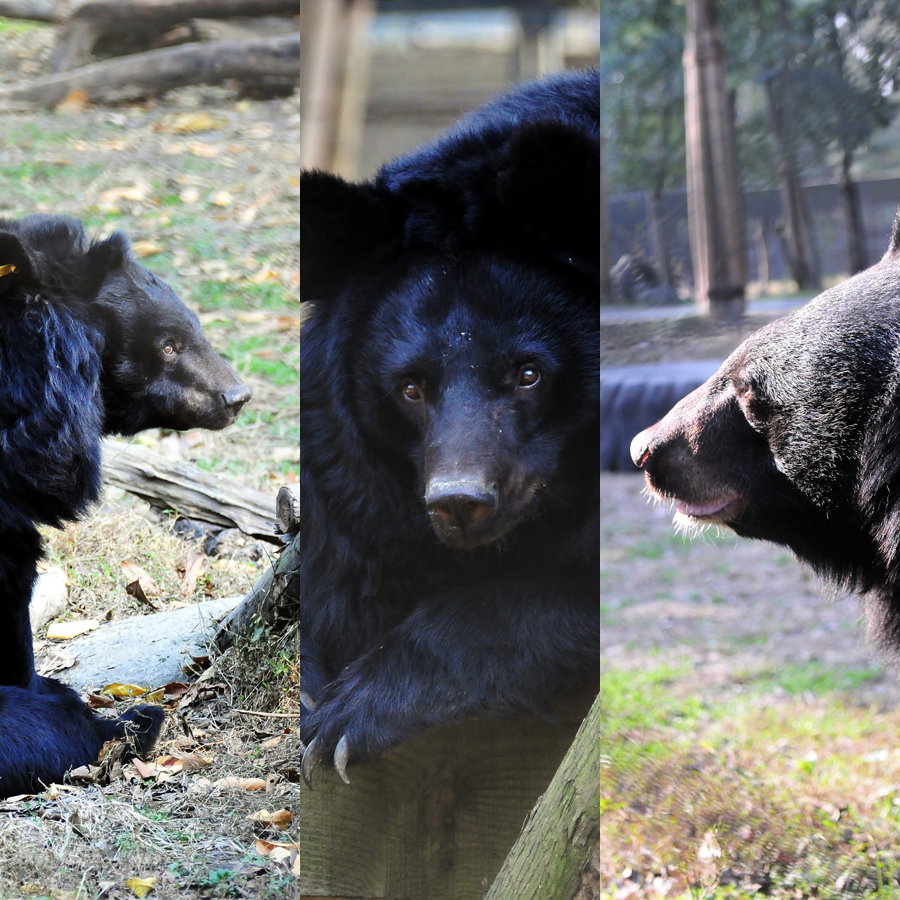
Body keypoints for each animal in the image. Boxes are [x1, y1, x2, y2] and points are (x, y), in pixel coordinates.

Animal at [298, 70, 600, 784]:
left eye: (528, 374)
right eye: (410, 388)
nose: (459, 502)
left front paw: (349, 718)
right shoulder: (354, 487)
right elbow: (342, 584)